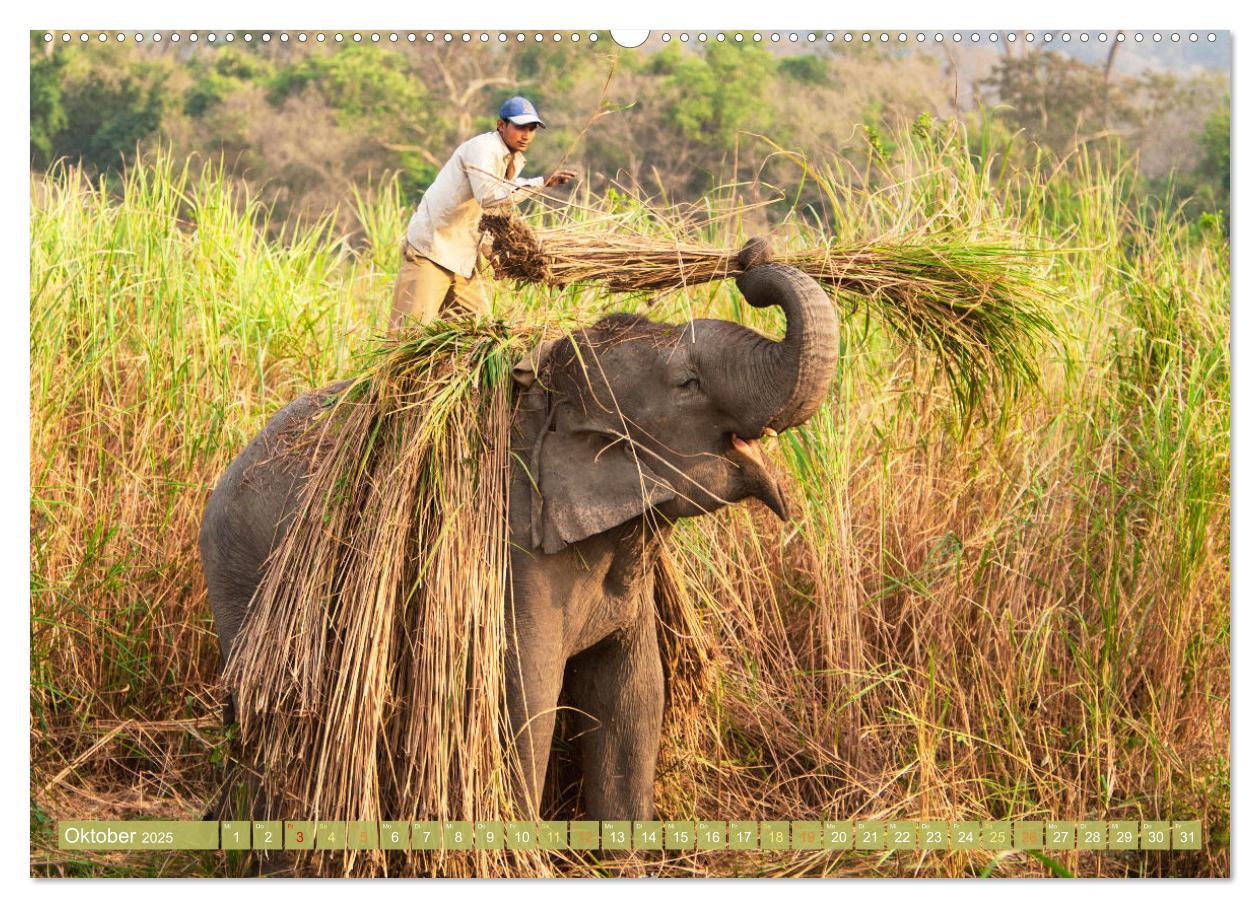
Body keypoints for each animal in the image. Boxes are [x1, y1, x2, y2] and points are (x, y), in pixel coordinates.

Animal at [199, 240, 836, 821]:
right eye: (686, 383)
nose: (752, 255)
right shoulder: (511, 554)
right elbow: (523, 701)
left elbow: (634, 696)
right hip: (243, 573)